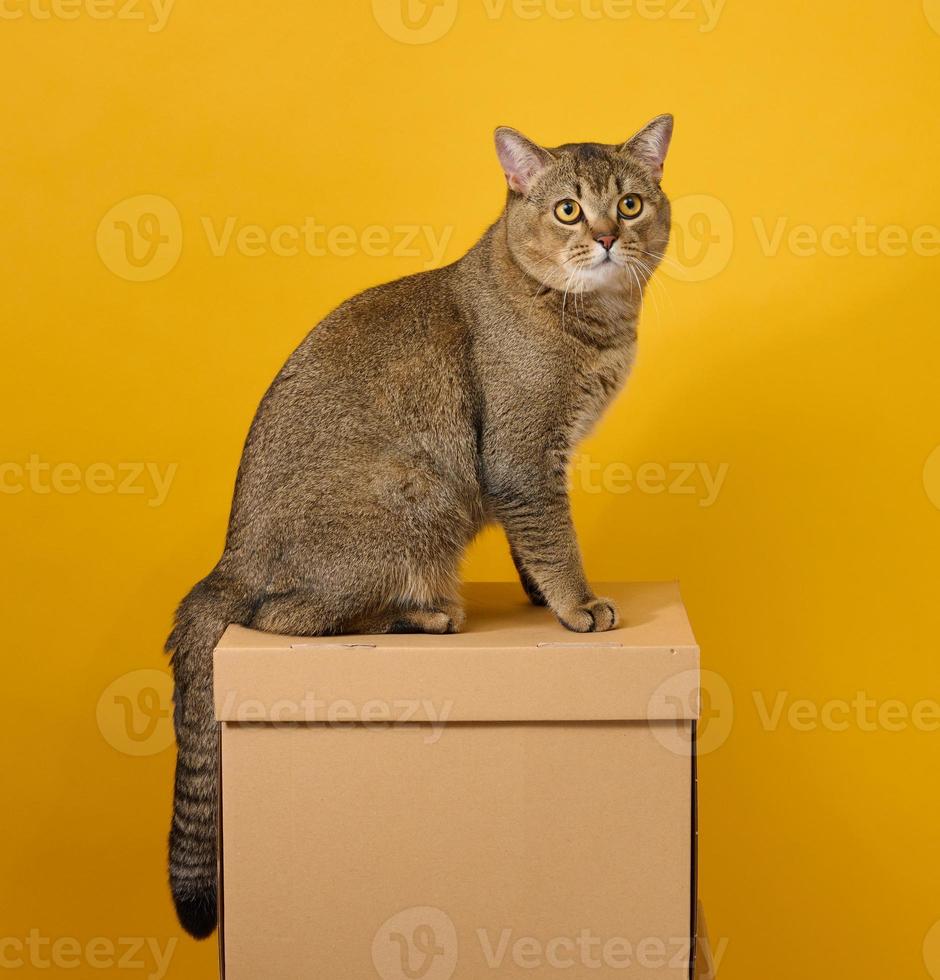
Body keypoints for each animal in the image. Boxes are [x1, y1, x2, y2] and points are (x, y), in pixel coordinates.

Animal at [165, 115, 672, 936]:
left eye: (629, 204)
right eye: (568, 210)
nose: (603, 237)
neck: (588, 317)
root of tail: (228, 558)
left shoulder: (534, 468)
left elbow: (533, 542)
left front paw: (539, 596)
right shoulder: (522, 454)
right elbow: (553, 536)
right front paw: (576, 606)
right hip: (415, 496)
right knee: (279, 615)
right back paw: (420, 615)